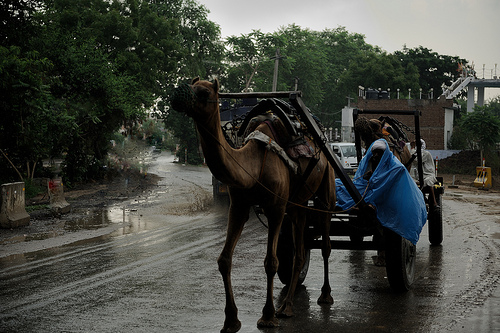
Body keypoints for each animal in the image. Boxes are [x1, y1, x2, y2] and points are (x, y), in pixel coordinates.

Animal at [171, 77, 336, 330]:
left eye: (205, 92)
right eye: (191, 85)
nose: (177, 96)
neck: (254, 165)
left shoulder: (276, 208)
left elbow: (271, 262)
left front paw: (267, 316)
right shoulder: (238, 206)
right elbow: (224, 259)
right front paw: (231, 320)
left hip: (326, 187)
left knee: (326, 244)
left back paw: (325, 296)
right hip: (297, 204)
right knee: (299, 252)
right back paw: (287, 307)